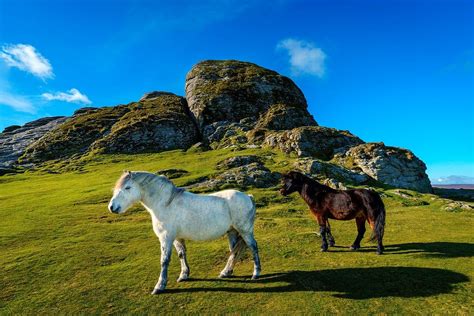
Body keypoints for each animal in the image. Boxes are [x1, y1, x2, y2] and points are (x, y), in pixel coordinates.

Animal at [109, 170, 262, 294]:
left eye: (127, 187)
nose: (112, 207)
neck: (166, 204)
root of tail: (248, 196)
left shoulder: (166, 238)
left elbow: (164, 260)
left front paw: (160, 286)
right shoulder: (176, 238)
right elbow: (181, 254)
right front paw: (184, 275)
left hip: (245, 231)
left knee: (253, 247)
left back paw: (255, 273)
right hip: (232, 231)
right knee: (234, 251)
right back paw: (226, 272)